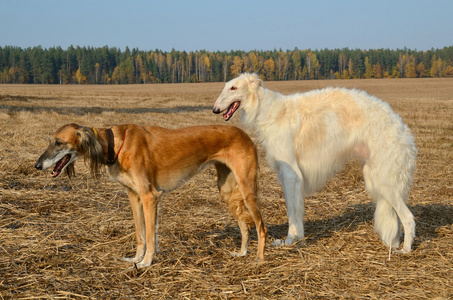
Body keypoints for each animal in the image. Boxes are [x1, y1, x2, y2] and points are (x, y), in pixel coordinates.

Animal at [36, 123, 268, 268]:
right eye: (49, 141)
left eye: (58, 142)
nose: (37, 165)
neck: (115, 145)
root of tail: (245, 134)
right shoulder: (134, 196)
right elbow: (140, 234)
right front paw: (135, 259)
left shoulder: (150, 196)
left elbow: (148, 234)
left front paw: (146, 262)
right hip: (226, 190)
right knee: (244, 225)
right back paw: (242, 253)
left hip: (247, 189)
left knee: (260, 226)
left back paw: (259, 259)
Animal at [213, 71, 416, 254]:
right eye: (225, 86)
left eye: (233, 87)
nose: (214, 109)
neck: (268, 111)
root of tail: (401, 128)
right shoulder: (287, 176)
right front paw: (295, 238)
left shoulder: (291, 175)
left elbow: (292, 211)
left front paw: (290, 240)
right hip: (376, 178)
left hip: (384, 180)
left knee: (408, 218)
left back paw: (405, 249)